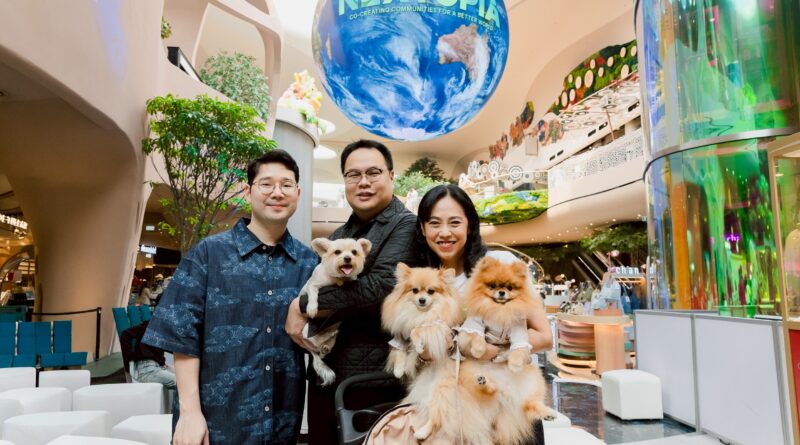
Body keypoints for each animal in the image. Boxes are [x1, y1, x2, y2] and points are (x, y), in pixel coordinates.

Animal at [300, 237, 371, 386]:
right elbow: (313, 294)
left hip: (331, 342)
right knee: (313, 339)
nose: (347, 258)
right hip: (306, 330)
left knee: (322, 350)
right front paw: (312, 308)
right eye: (337, 252)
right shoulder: (312, 285)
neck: (338, 278)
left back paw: (326, 345)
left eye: (354, 252)